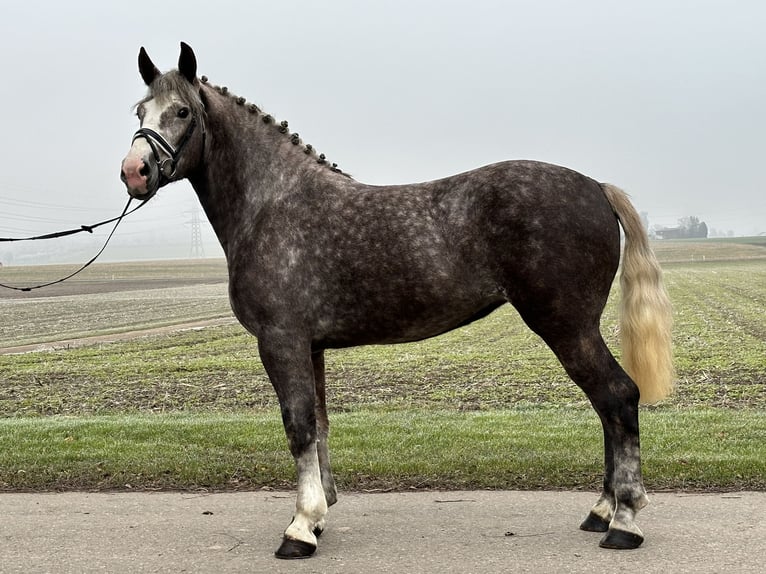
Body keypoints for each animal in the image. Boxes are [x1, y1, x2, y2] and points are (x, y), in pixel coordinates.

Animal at [118, 41, 672, 564]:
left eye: (182, 111)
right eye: (139, 111)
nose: (134, 172)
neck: (273, 204)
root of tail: (596, 187)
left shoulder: (281, 341)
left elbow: (298, 426)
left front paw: (300, 529)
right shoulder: (311, 347)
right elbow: (319, 425)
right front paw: (319, 516)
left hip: (566, 326)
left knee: (617, 397)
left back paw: (624, 522)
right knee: (607, 406)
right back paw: (601, 512)